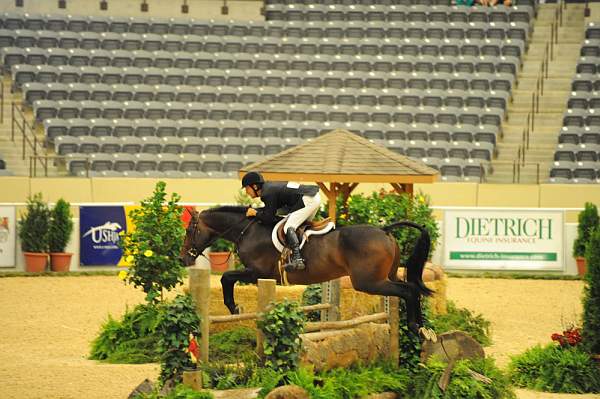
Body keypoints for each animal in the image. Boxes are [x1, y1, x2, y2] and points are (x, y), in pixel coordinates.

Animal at [178, 206, 432, 334]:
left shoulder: (258, 272)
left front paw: (234, 308)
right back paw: (423, 327)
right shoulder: (259, 274)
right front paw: (235, 308)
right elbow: (228, 279)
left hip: (369, 282)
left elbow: (227, 278)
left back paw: (415, 327)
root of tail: (384, 230)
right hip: (385, 277)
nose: (183, 259)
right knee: (411, 289)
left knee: (408, 291)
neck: (248, 229)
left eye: (189, 231)